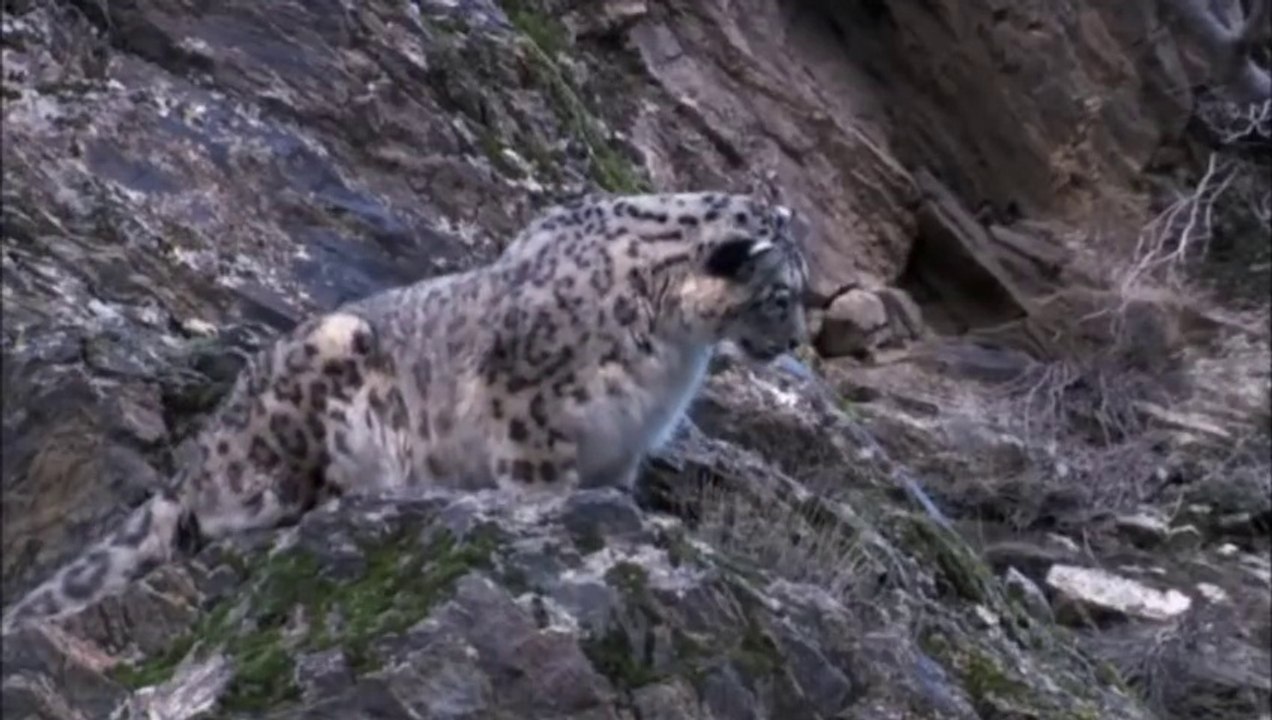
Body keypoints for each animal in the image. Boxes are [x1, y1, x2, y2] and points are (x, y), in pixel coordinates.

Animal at [1, 190, 811, 633]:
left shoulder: (626, 445)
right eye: (782, 295)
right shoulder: (528, 399)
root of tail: (200, 453)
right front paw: (547, 507)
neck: (672, 356)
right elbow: (537, 474)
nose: (801, 339)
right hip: (306, 402)